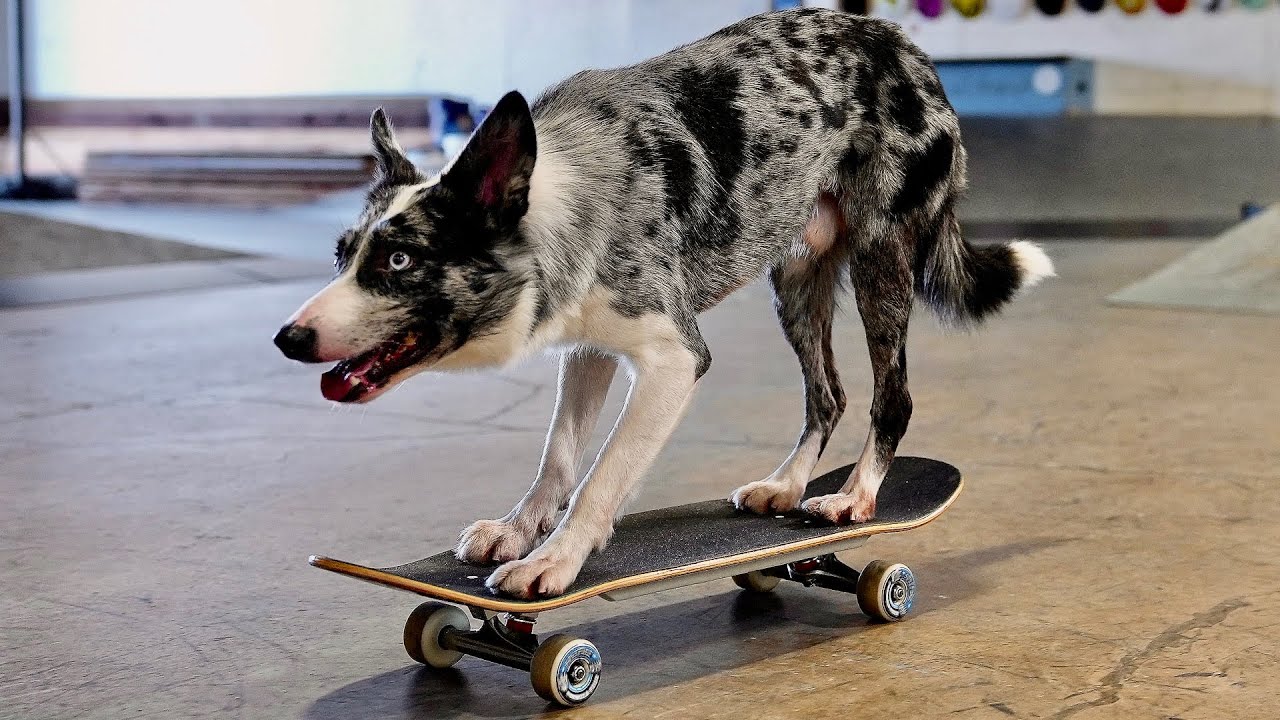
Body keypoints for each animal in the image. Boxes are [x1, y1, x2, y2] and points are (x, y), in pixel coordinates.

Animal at [270, 8, 1049, 597]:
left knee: (893, 397)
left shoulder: (674, 360)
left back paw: (855, 496)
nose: (287, 339)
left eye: (400, 261)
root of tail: (903, 45)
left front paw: (556, 559)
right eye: (342, 255)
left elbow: (602, 475)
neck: (564, 203)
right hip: (796, 280)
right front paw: (522, 530)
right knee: (826, 395)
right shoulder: (588, 346)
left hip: (879, 261)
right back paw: (788, 485)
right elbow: (559, 456)